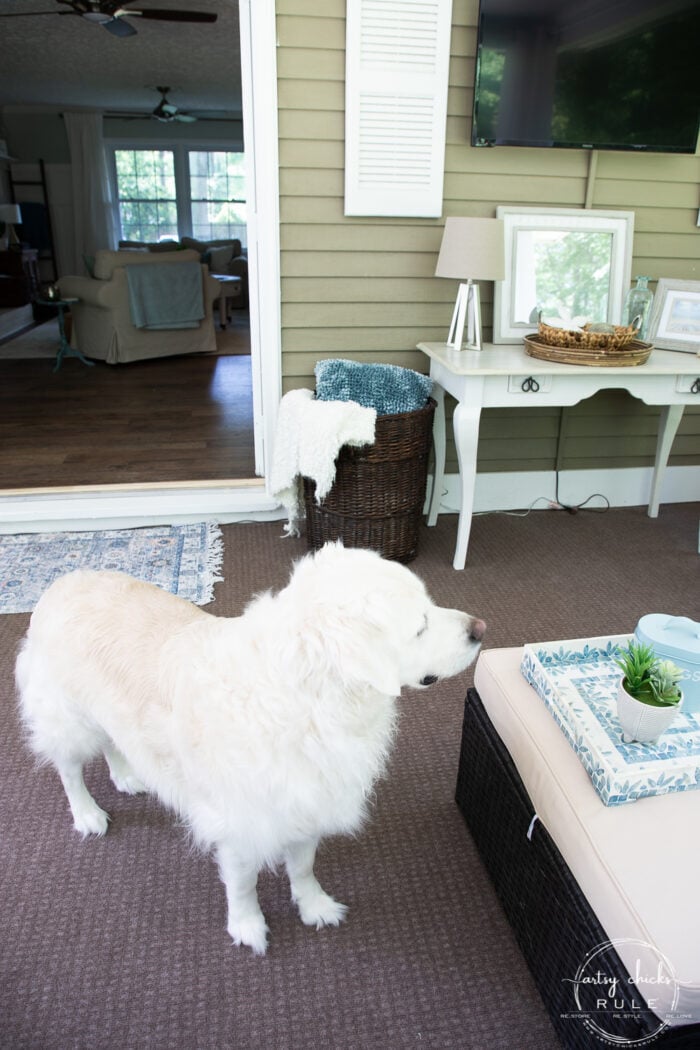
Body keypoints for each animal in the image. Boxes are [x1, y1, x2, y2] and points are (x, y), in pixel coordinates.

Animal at [16, 541, 486, 953]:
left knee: (113, 744)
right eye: (419, 625)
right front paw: (247, 926)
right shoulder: (242, 823)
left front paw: (314, 905)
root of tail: (64, 579)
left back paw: (126, 775)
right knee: (69, 769)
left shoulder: (306, 803)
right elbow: (243, 884)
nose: (481, 630)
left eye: (431, 603)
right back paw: (87, 814)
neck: (311, 700)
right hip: (67, 718)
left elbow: (303, 866)